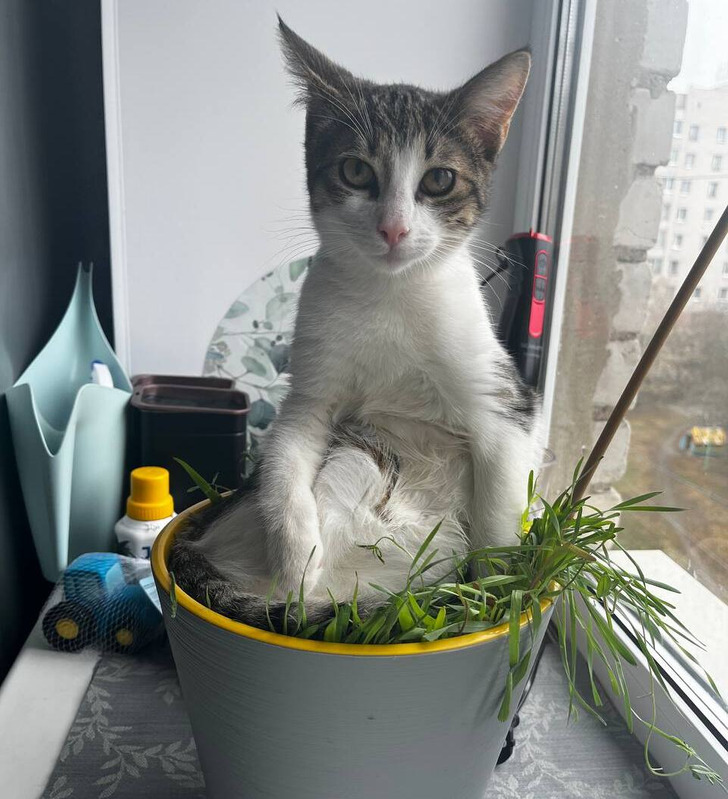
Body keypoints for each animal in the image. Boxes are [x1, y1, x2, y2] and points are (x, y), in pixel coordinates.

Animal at [169, 18, 543, 626]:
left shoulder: (504, 402)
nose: (393, 228)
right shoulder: (311, 391)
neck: (391, 295)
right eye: (355, 170)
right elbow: (285, 455)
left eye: (439, 180)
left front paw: (499, 593)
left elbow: (501, 509)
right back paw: (300, 595)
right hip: (356, 452)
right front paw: (296, 555)